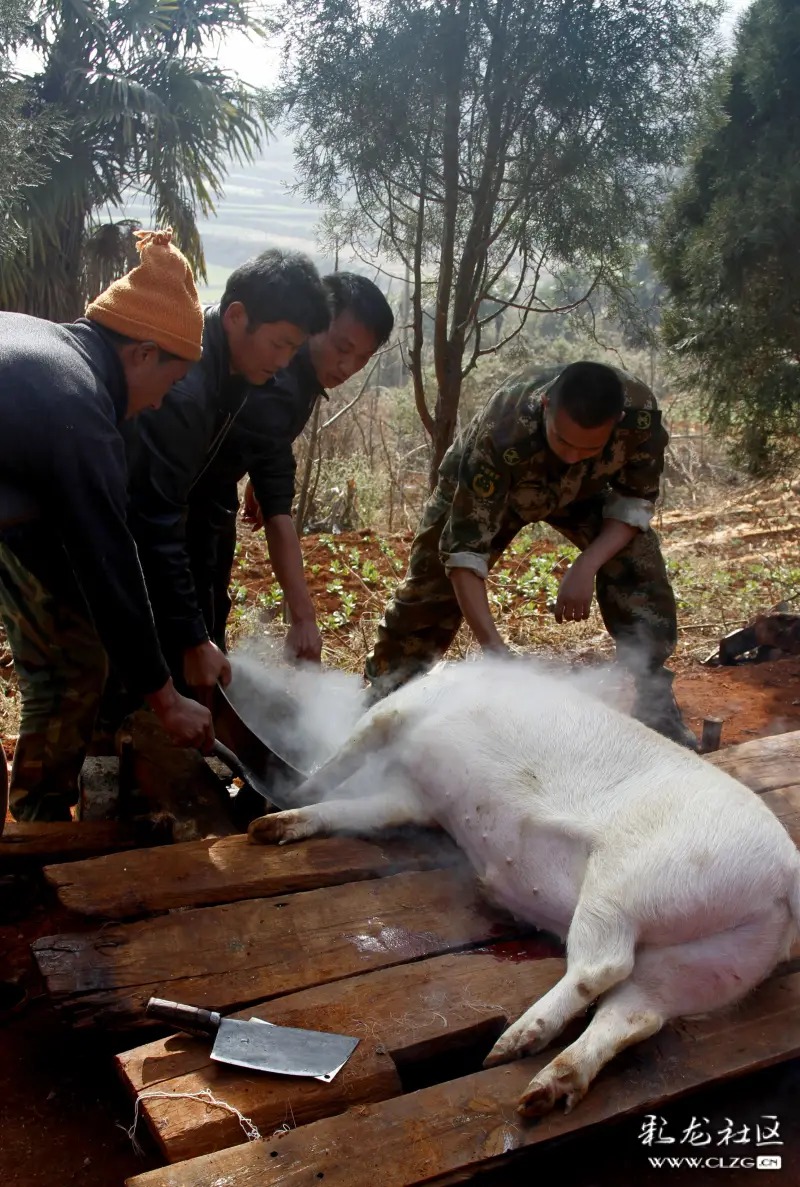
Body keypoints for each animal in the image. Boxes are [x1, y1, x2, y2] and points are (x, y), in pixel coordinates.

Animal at [249, 659, 797, 1111]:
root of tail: (786, 867)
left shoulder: (401, 711)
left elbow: (348, 752)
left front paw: (285, 797)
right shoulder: (415, 800)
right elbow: (357, 810)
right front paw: (266, 829)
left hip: (630, 881)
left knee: (605, 965)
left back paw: (505, 1049)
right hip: (719, 960)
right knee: (637, 1013)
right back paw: (538, 1092)